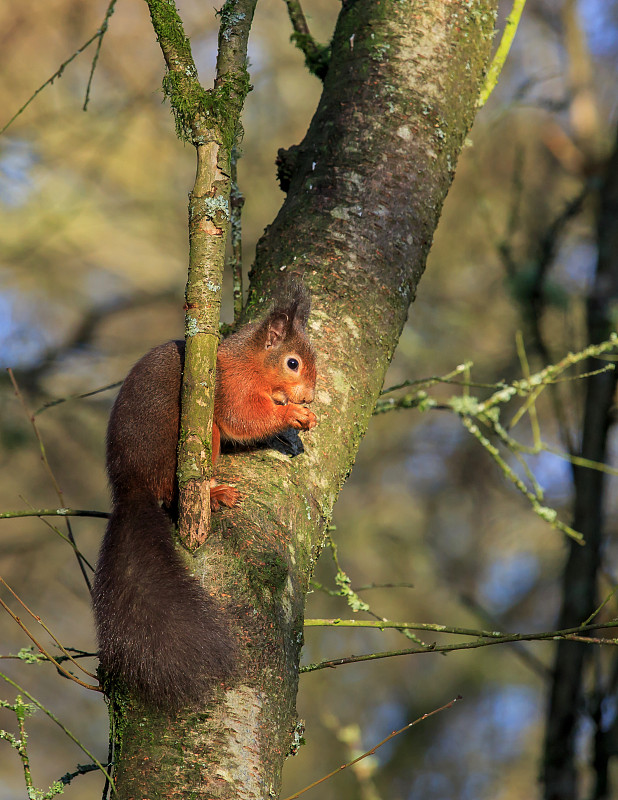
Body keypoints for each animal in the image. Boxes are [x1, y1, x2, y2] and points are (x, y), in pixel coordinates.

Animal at [91, 284, 318, 708]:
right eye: (293, 363)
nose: (310, 398)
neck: (250, 363)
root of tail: (131, 486)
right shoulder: (230, 387)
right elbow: (242, 417)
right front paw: (291, 417)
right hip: (194, 439)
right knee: (173, 494)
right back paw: (214, 494)